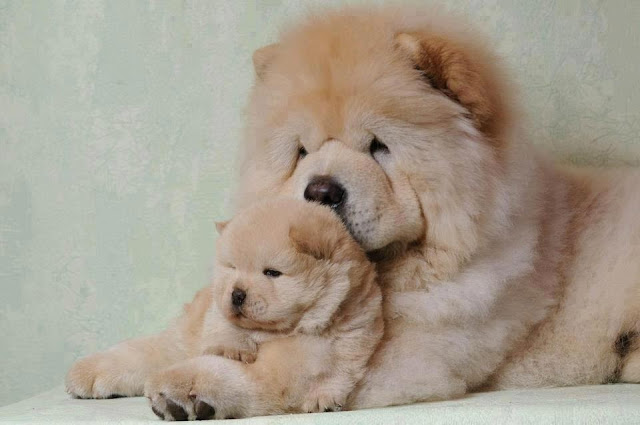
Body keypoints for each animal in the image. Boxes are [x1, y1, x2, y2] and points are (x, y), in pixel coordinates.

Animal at [67, 199, 382, 418]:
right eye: (232, 267)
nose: (237, 294)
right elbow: (144, 353)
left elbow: (226, 373)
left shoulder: (302, 362)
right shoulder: (201, 329)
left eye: (272, 273)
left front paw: (179, 391)